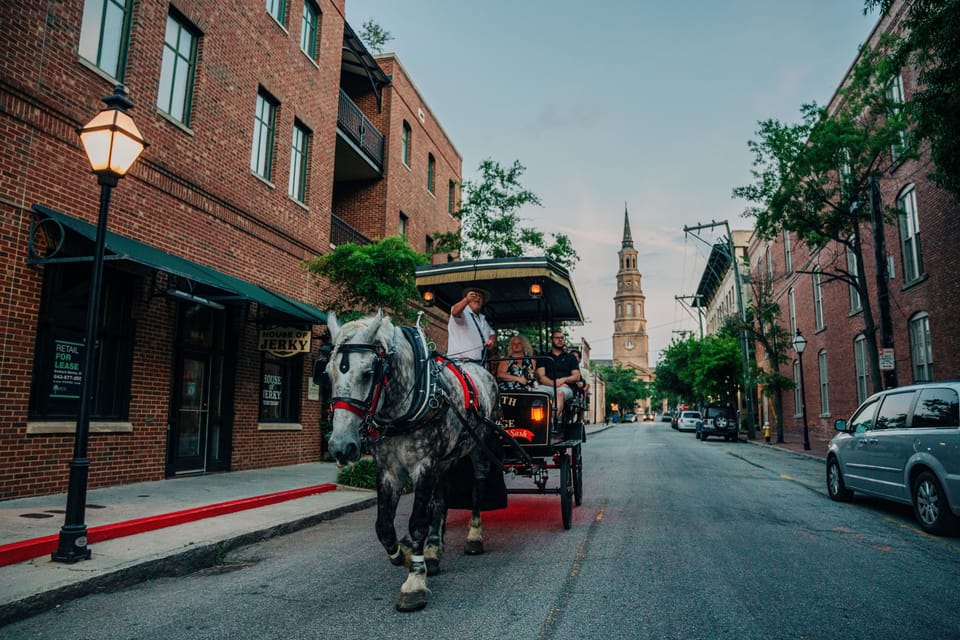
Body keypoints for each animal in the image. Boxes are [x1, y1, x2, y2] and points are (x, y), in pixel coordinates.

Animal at [324, 312, 498, 612]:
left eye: (368, 373)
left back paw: (474, 537)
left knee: (477, 489)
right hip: (445, 460)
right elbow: (384, 526)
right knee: (441, 500)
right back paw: (433, 549)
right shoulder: (389, 469)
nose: (340, 446)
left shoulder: (424, 464)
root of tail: (480, 368)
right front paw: (406, 555)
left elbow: (417, 522)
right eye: (327, 373)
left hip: (478, 447)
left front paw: (414, 582)